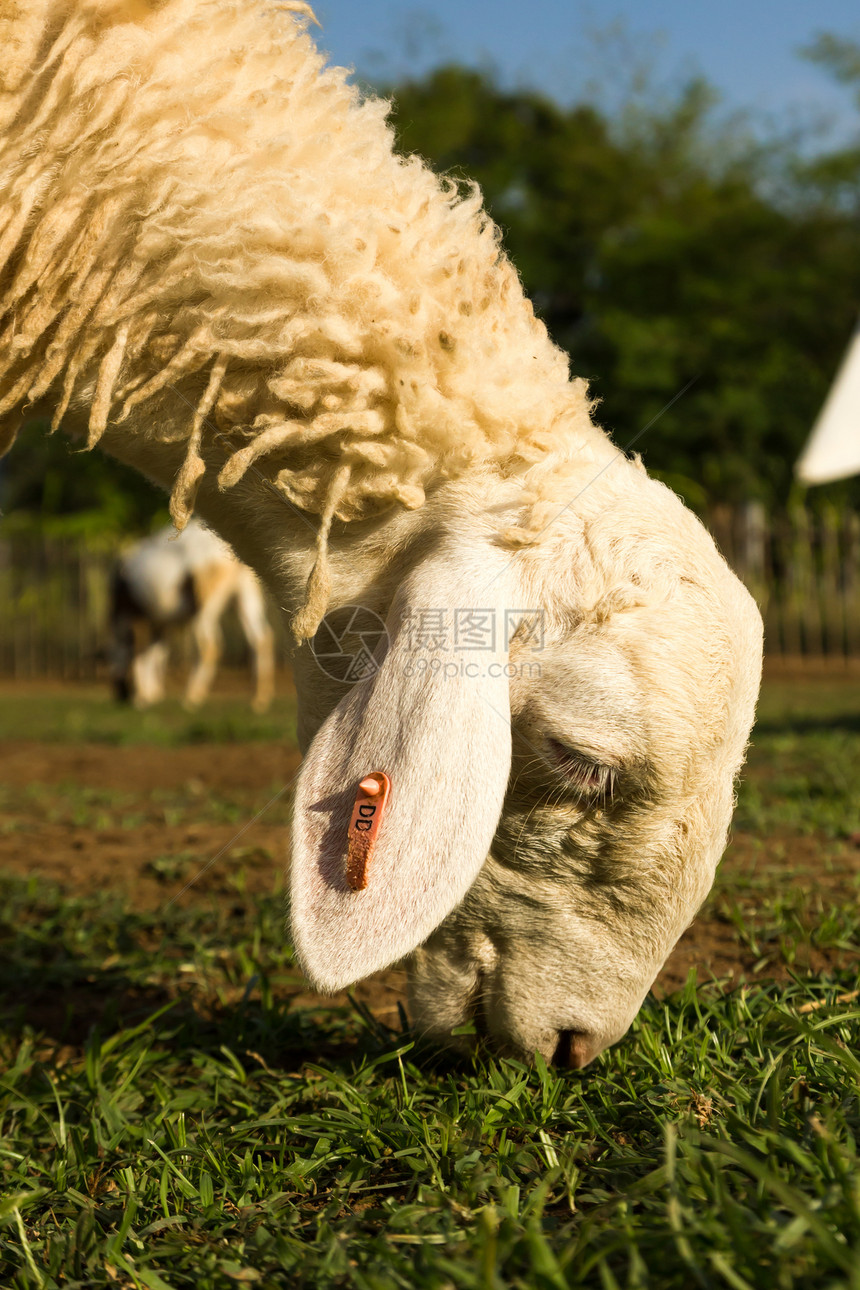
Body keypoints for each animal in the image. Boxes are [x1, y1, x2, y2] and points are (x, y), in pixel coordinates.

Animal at [109, 516, 274, 717]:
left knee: (209, 645)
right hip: (245, 595)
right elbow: (156, 653)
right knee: (261, 639)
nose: (122, 695)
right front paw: (153, 695)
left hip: (204, 608)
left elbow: (139, 651)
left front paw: (142, 698)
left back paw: (191, 698)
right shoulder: (161, 622)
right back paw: (258, 701)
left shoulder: (133, 616)